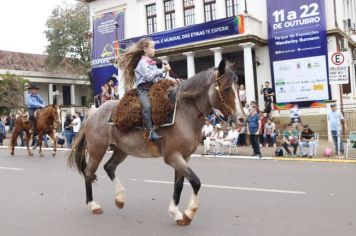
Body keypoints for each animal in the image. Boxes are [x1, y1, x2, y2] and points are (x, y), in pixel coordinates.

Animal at [67, 60, 245, 226]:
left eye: (238, 87)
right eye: (226, 88)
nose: (241, 119)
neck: (184, 114)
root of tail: (93, 112)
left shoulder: (185, 157)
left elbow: (179, 185)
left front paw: (176, 213)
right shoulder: (172, 157)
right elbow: (195, 182)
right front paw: (188, 213)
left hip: (121, 150)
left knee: (109, 167)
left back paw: (120, 198)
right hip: (97, 150)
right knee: (89, 173)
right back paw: (93, 205)